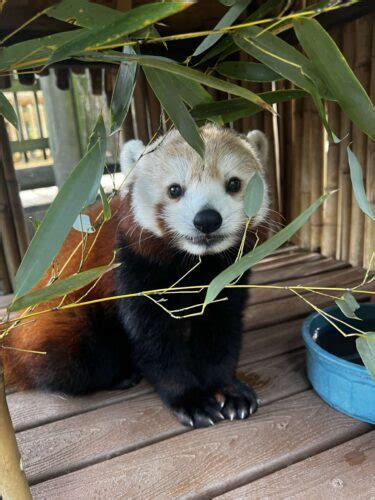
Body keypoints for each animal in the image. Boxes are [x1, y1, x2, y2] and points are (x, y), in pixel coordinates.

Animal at [5, 124, 270, 426]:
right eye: (175, 190)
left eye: (234, 184)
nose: (207, 219)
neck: (195, 265)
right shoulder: (135, 268)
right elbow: (154, 341)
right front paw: (190, 399)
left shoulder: (226, 277)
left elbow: (220, 332)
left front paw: (227, 389)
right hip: (56, 322)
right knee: (75, 360)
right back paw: (121, 375)